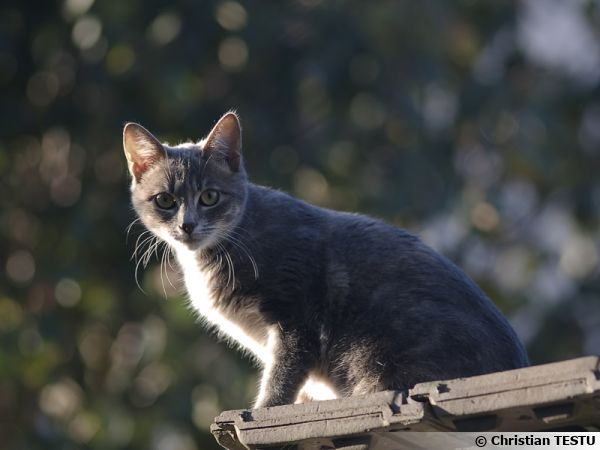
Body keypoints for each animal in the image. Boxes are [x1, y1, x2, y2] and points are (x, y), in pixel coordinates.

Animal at [123, 111, 528, 408]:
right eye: (165, 200)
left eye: (209, 196)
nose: (187, 224)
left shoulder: (296, 318)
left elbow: (283, 376)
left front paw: (265, 410)